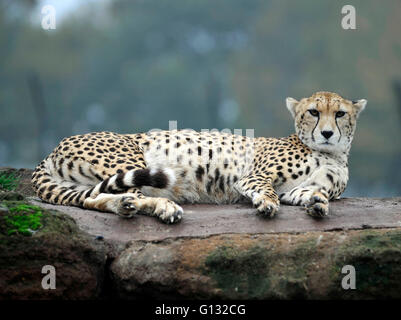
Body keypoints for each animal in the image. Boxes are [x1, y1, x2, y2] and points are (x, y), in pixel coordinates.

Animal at [32, 91, 366, 224]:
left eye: (339, 114)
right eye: (313, 112)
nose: (327, 133)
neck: (330, 153)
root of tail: (52, 148)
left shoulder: (299, 190)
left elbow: (312, 195)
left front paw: (318, 205)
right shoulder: (254, 176)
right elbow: (268, 191)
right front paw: (266, 205)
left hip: (88, 184)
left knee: (93, 199)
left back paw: (125, 206)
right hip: (131, 160)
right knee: (135, 193)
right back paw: (165, 207)